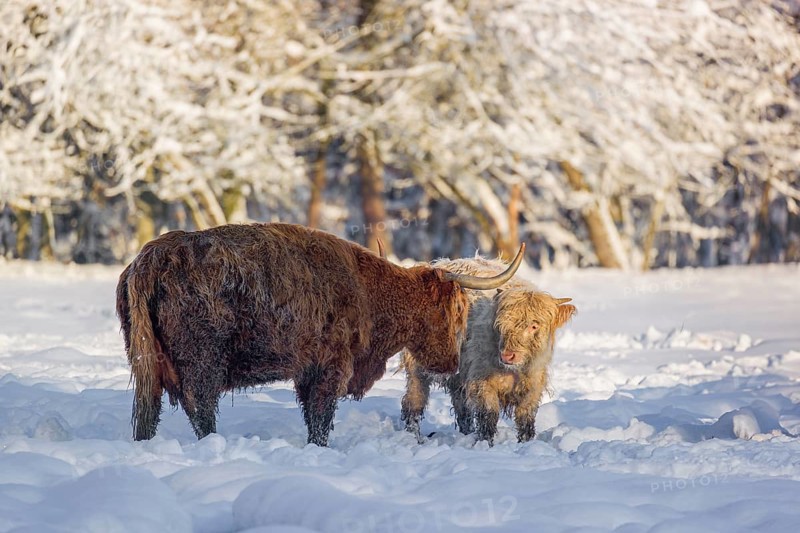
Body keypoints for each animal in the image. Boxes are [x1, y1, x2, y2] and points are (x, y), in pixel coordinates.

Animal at [116, 223, 524, 446]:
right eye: (455, 311)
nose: (450, 363)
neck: (367, 289)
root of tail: (150, 260)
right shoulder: (329, 368)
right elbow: (321, 418)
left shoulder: (307, 372)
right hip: (202, 364)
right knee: (200, 407)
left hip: (148, 365)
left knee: (151, 412)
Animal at [401, 256, 575, 446]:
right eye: (501, 324)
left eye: (534, 325)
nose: (507, 355)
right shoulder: (482, 382)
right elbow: (488, 416)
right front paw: (485, 444)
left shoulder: (533, 387)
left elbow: (525, 420)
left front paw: (526, 443)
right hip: (417, 369)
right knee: (414, 401)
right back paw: (413, 437)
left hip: (458, 377)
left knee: (462, 410)